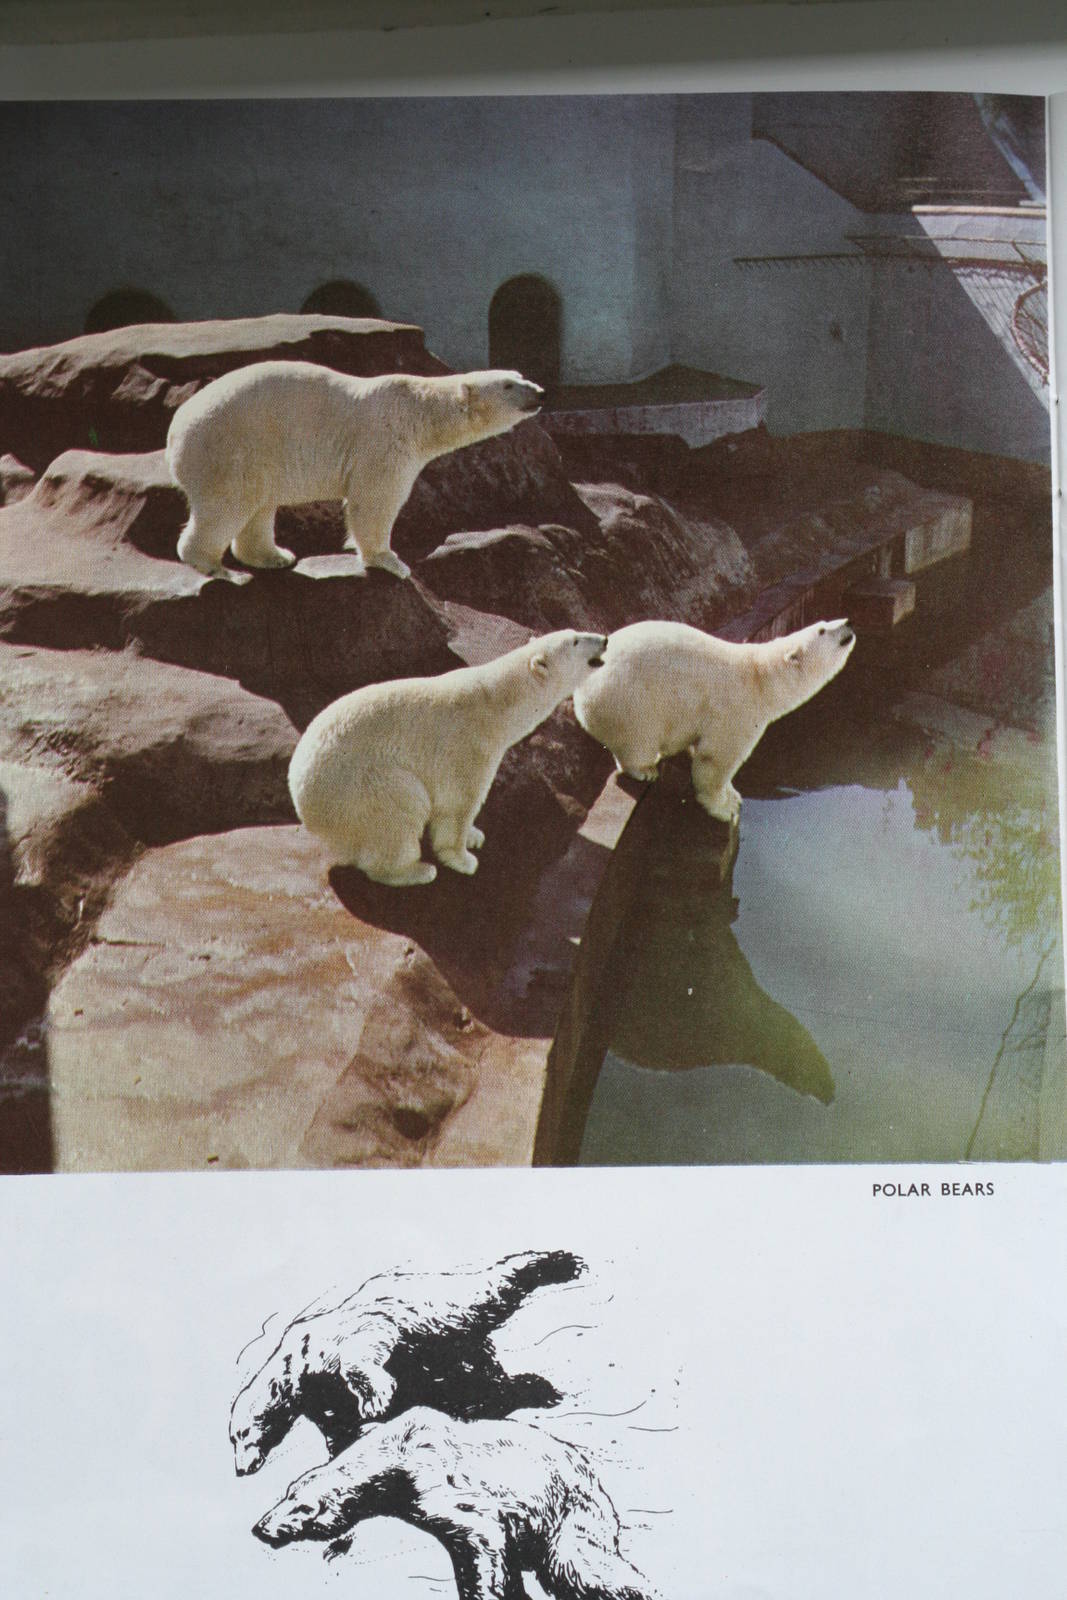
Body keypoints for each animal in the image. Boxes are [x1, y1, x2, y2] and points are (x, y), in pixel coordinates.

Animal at [165, 360, 544, 580]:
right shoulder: (385, 442)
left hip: (257, 456)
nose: (539, 391)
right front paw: (391, 561)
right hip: (230, 448)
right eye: (508, 385)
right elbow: (374, 500)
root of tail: (175, 431)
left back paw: (275, 556)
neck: (420, 410)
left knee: (259, 506)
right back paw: (212, 565)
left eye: (519, 376)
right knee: (227, 505)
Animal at [229, 1250, 585, 1476]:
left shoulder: (346, 1339)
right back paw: (532, 1389)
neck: (298, 1360)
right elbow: (338, 1423)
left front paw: (375, 1401)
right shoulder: (322, 1397)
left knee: (492, 1292)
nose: (241, 1469)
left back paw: (558, 1264)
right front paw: (343, 1445)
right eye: (233, 1439)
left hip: (441, 1311)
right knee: (475, 1384)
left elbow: (364, 1358)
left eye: (244, 1434)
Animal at [252, 1407, 660, 1600]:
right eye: (284, 1494)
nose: (260, 1527)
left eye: (300, 1508)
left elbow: (477, 1530)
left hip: (567, 1512)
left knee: (578, 1566)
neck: (391, 1448)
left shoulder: (429, 1473)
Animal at [287, 629, 607, 886]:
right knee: (401, 807)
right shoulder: (469, 744)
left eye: (575, 632)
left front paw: (475, 835)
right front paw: (463, 859)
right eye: (575, 641)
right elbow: (459, 803)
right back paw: (416, 870)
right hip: (357, 787)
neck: (499, 703)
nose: (604, 639)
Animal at [572, 617, 856, 824]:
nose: (848, 621)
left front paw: (734, 795)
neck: (762, 678)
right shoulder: (738, 710)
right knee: (638, 738)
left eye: (826, 621)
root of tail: (581, 691)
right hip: (630, 700)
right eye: (822, 629)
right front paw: (725, 807)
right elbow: (716, 759)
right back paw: (645, 770)